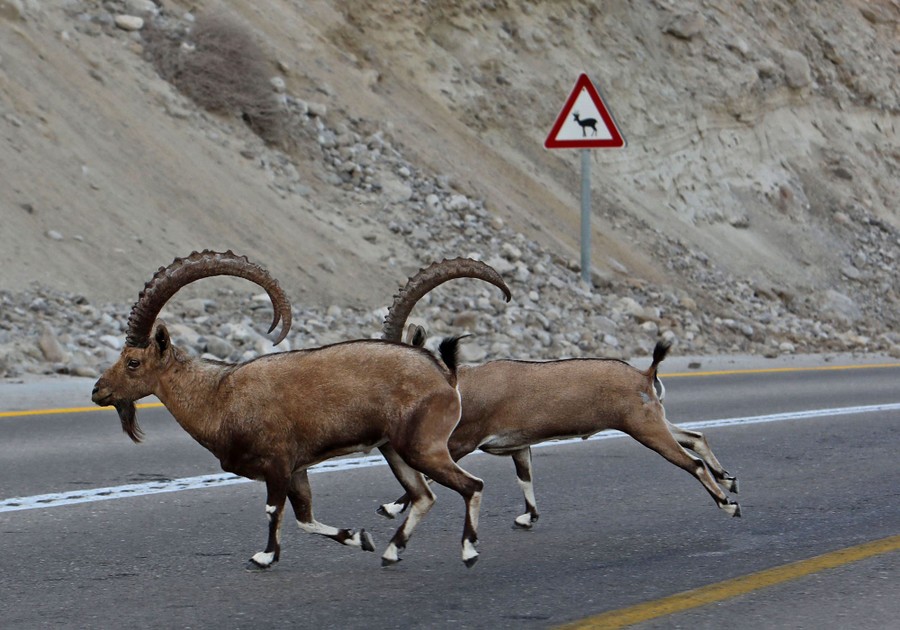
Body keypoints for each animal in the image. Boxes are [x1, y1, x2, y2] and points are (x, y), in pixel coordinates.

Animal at [92, 251, 511, 568]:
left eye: (132, 362)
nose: (97, 391)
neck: (218, 397)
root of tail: (445, 375)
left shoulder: (277, 463)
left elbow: (273, 511)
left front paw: (264, 557)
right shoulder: (297, 469)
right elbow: (305, 518)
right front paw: (359, 537)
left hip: (423, 447)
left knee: (471, 485)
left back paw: (468, 550)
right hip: (395, 450)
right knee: (424, 495)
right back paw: (391, 551)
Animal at [377, 261, 741, 528]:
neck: (457, 384)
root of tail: (645, 375)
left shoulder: (461, 441)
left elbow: (429, 474)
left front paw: (389, 508)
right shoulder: (518, 445)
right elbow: (525, 476)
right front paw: (528, 517)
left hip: (644, 426)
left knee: (692, 462)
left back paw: (728, 504)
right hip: (655, 420)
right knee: (695, 437)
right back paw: (729, 480)